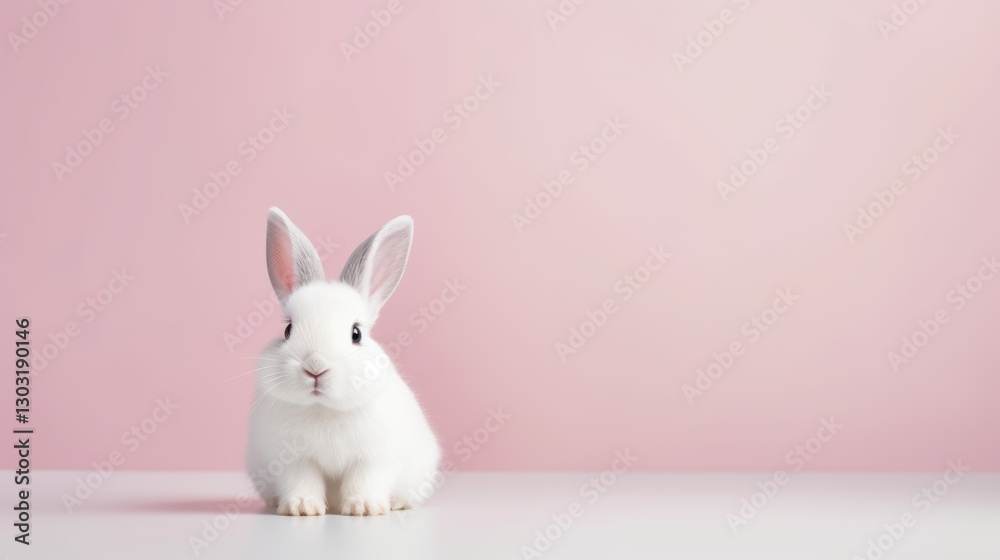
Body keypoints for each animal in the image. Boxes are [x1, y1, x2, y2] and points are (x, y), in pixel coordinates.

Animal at [246, 207, 441, 516]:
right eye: (288, 330)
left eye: (356, 333)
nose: (315, 367)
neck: (323, 410)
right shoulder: (294, 461)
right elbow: (302, 481)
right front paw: (301, 508)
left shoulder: (372, 459)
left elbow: (364, 480)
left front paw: (364, 508)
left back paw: (397, 503)